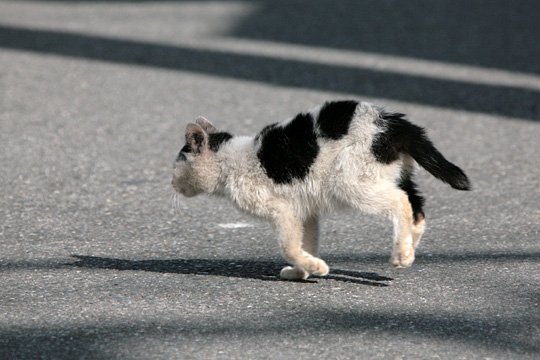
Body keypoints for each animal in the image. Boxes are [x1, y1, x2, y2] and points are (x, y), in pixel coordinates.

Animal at [172, 100, 468, 280]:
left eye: (176, 165)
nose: (171, 183)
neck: (231, 161)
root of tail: (394, 123)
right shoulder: (305, 211)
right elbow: (307, 242)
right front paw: (301, 271)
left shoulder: (281, 209)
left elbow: (289, 245)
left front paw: (313, 267)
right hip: (394, 176)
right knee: (417, 209)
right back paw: (407, 251)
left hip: (352, 181)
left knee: (401, 203)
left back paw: (400, 256)